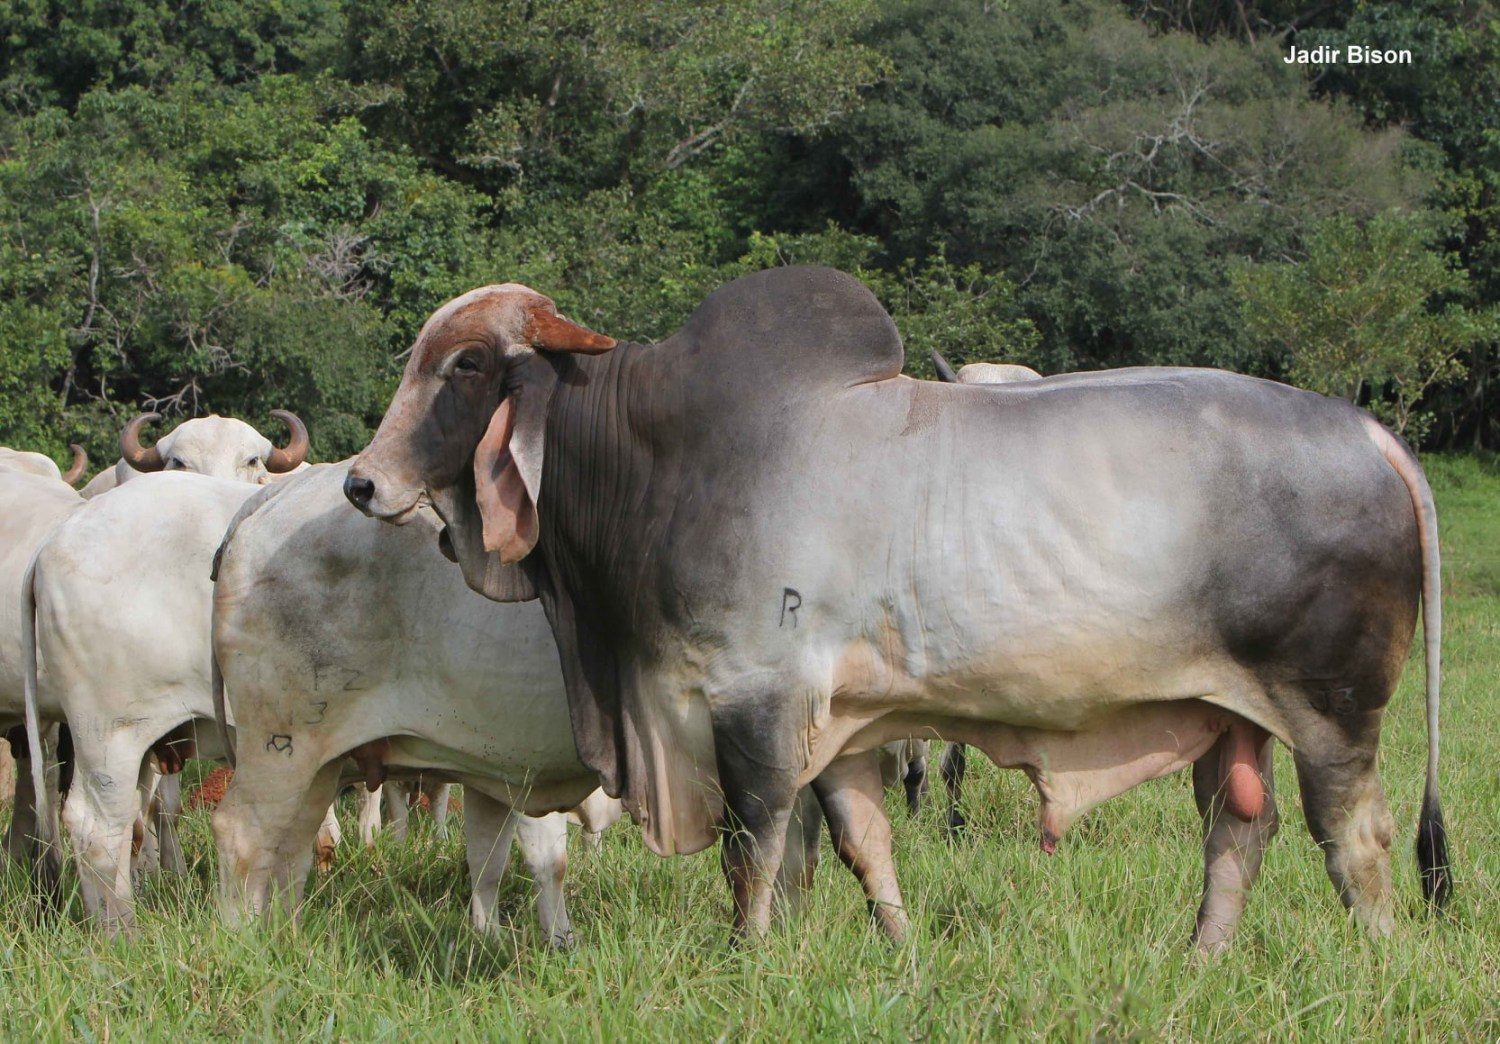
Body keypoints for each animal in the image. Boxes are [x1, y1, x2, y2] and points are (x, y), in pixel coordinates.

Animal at [345, 265, 1446, 948]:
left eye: (465, 366)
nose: (360, 482)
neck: (661, 458)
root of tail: (1369, 432)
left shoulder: (755, 699)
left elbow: (754, 848)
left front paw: (748, 956)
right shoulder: (839, 720)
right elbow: (853, 843)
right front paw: (894, 948)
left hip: (1333, 709)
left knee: (1356, 837)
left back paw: (1376, 954)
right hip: (1228, 716)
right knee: (1238, 835)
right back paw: (1200, 957)